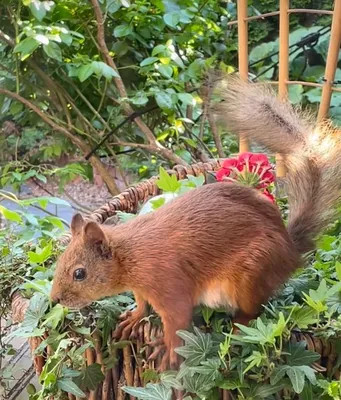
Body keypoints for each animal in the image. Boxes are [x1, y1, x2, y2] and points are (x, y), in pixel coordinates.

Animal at [49, 77, 340, 372]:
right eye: (60, 262)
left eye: (79, 273)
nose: (54, 300)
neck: (129, 255)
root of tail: (290, 251)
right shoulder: (141, 288)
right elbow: (142, 303)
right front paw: (135, 316)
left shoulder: (168, 286)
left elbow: (176, 322)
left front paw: (169, 351)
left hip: (251, 275)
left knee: (254, 311)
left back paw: (239, 327)